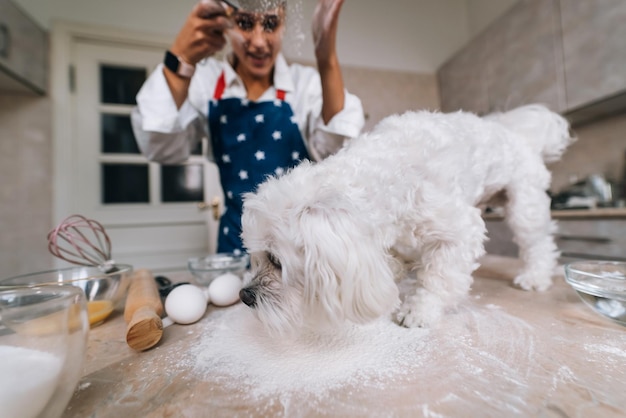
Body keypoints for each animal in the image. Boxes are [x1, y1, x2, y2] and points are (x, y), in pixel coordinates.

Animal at [236, 105, 572, 336]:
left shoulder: (459, 231)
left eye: (276, 261)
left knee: (538, 243)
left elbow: (438, 278)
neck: (382, 178)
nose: (244, 296)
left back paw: (535, 276)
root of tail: (517, 132)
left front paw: (419, 310)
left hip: (524, 205)